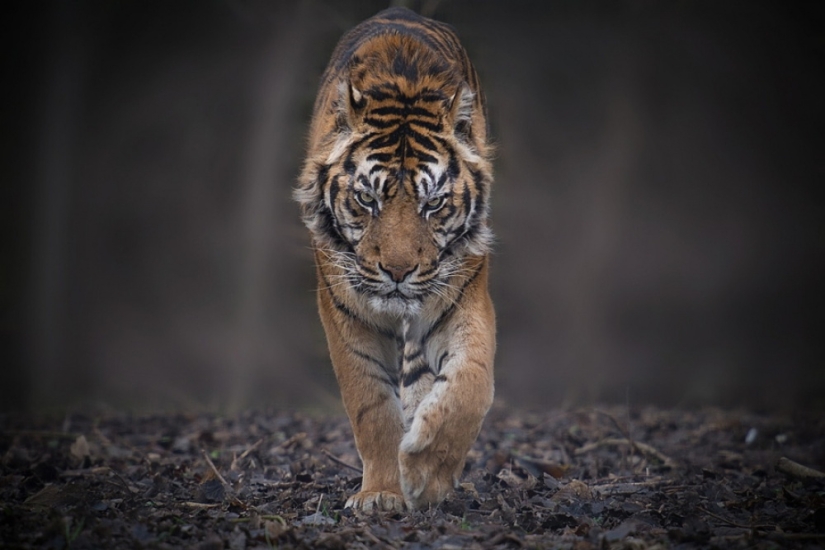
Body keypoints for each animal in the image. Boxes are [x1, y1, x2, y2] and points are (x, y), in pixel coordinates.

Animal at [295, 6, 495, 512]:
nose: (399, 272)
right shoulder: (346, 311)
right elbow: (371, 406)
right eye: (367, 199)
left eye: (433, 203)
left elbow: (470, 384)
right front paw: (383, 492)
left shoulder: (461, 296)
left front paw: (426, 473)